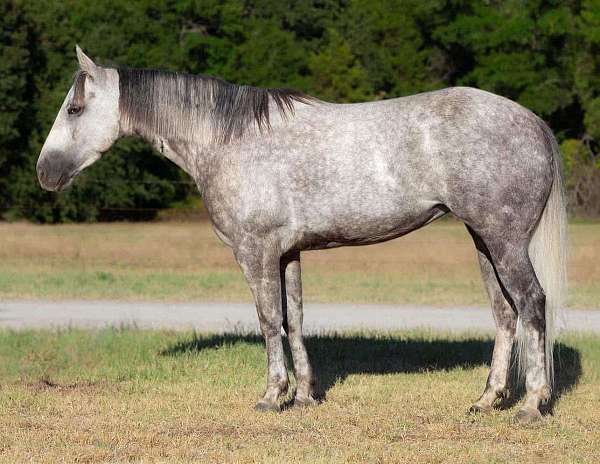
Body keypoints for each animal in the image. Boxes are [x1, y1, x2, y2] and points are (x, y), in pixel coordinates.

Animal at [37, 48, 568, 424]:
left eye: (75, 108)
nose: (45, 172)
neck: (230, 139)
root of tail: (533, 122)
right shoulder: (288, 252)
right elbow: (294, 318)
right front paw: (306, 396)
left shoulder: (255, 252)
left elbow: (268, 320)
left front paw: (273, 396)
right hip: (483, 241)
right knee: (505, 313)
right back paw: (487, 400)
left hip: (504, 242)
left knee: (532, 304)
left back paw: (531, 404)